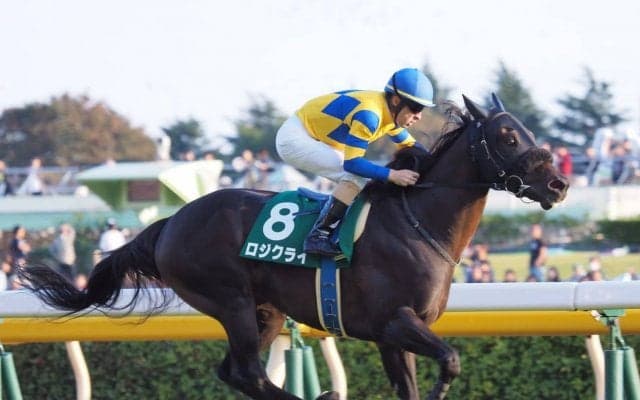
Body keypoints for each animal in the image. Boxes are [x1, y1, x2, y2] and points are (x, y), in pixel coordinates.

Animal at [20, 94, 568, 400]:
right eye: (506, 137)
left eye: (527, 132)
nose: (559, 184)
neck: (419, 223)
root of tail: (172, 220)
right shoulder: (396, 322)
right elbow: (450, 360)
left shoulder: (392, 336)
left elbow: (410, 385)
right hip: (232, 300)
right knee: (247, 372)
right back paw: (321, 397)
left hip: (267, 311)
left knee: (237, 373)